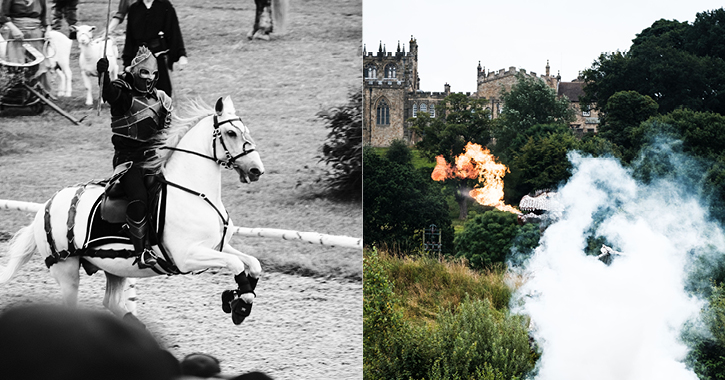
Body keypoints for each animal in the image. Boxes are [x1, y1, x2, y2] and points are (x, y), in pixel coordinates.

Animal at [0, 96, 266, 326]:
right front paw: (240, 304)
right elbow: (236, 264)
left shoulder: (217, 247)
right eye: (231, 133)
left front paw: (236, 298)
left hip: (114, 269)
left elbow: (252, 264)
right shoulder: (187, 256)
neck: (194, 193)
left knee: (111, 302)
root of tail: (45, 206)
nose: (256, 170)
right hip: (67, 273)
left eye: (246, 130)